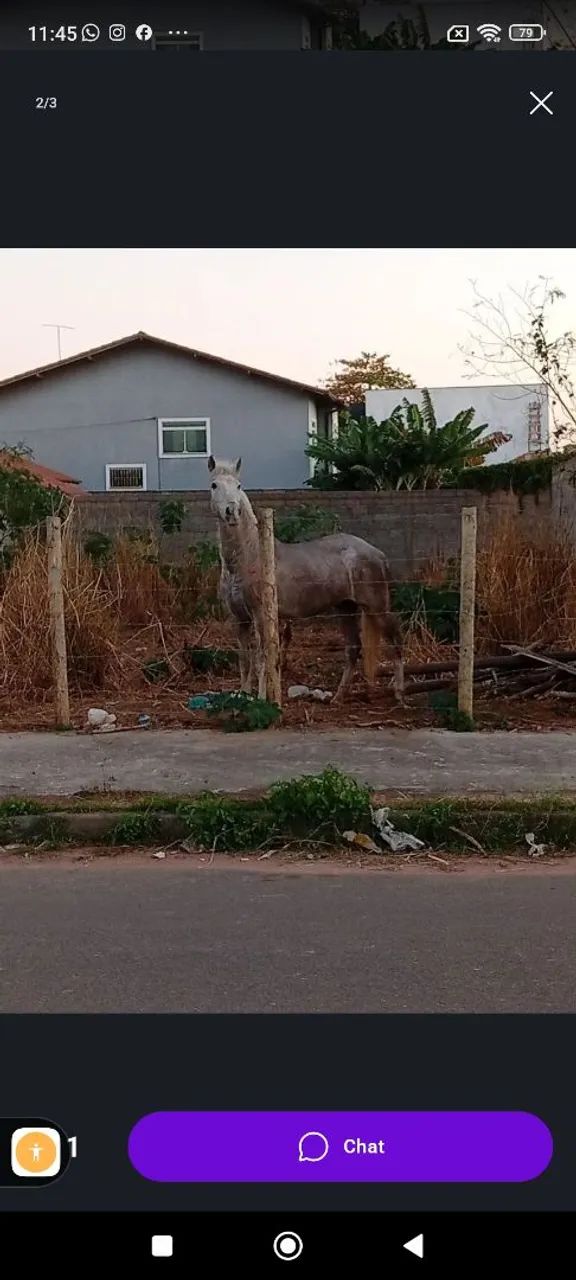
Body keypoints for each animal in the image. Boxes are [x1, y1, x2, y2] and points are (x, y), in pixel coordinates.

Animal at [208, 456, 404, 704]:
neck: (249, 556)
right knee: (353, 648)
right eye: (214, 485)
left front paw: (261, 699)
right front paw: (243, 696)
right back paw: (338, 697)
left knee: (396, 638)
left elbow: (262, 657)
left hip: (377, 606)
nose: (232, 511)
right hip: (346, 608)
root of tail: (377, 553)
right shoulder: (239, 619)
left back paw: (399, 693)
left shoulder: (261, 616)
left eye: (239, 485)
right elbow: (245, 659)